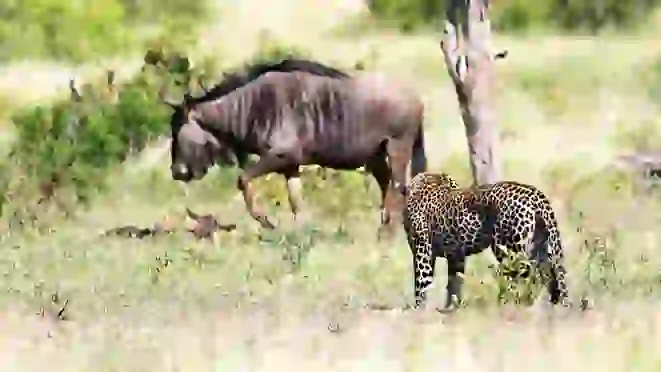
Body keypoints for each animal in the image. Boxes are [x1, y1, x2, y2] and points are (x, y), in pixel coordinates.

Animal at [398, 171, 572, 310]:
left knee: (527, 278)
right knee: (550, 277)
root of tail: (535, 194)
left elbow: (421, 284)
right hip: (542, 248)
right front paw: (451, 308)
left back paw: (513, 305)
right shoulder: (456, 256)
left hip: (510, 250)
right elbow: (454, 284)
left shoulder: (423, 253)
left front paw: (419, 312)